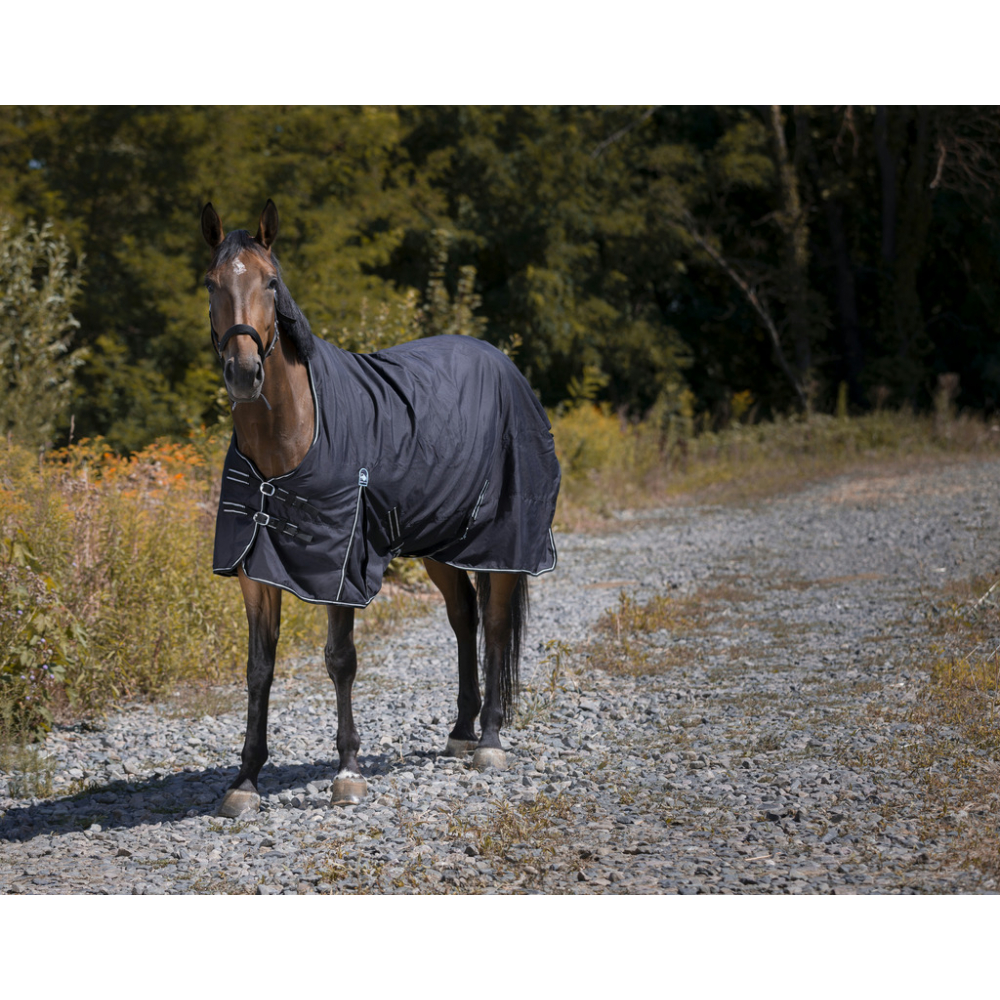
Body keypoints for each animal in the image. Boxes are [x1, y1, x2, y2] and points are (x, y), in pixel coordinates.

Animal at [201, 199, 564, 816]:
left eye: (271, 282)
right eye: (211, 283)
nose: (244, 373)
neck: (294, 435)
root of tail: (504, 363)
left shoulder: (340, 567)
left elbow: (340, 658)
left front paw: (348, 772)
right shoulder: (254, 569)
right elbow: (258, 668)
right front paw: (245, 780)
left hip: (503, 542)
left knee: (493, 622)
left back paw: (489, 740)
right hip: (442, 542)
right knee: (464, 617)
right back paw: (460, 732)